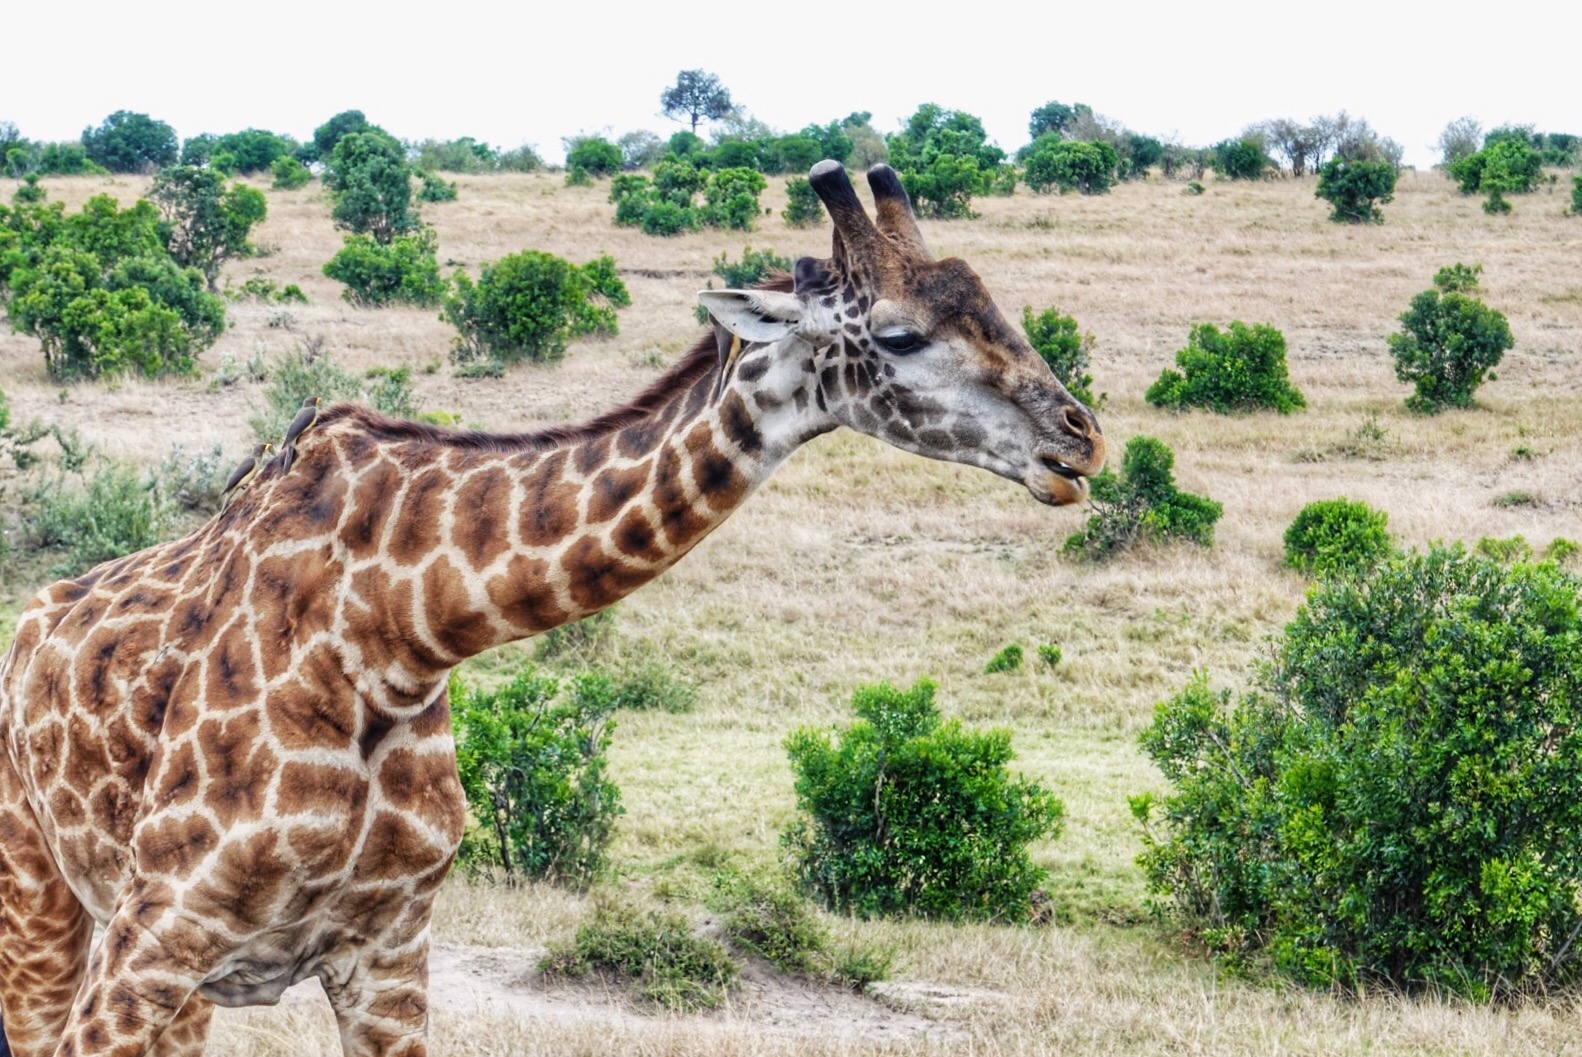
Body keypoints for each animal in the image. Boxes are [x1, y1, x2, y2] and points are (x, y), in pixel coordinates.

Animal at [0, 159, 1101, 1057]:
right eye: (903, 335)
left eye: (990, 300)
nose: (1079, 438)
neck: (399, 632)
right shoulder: (157, 934)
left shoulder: (387, 950)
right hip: (42, 899)